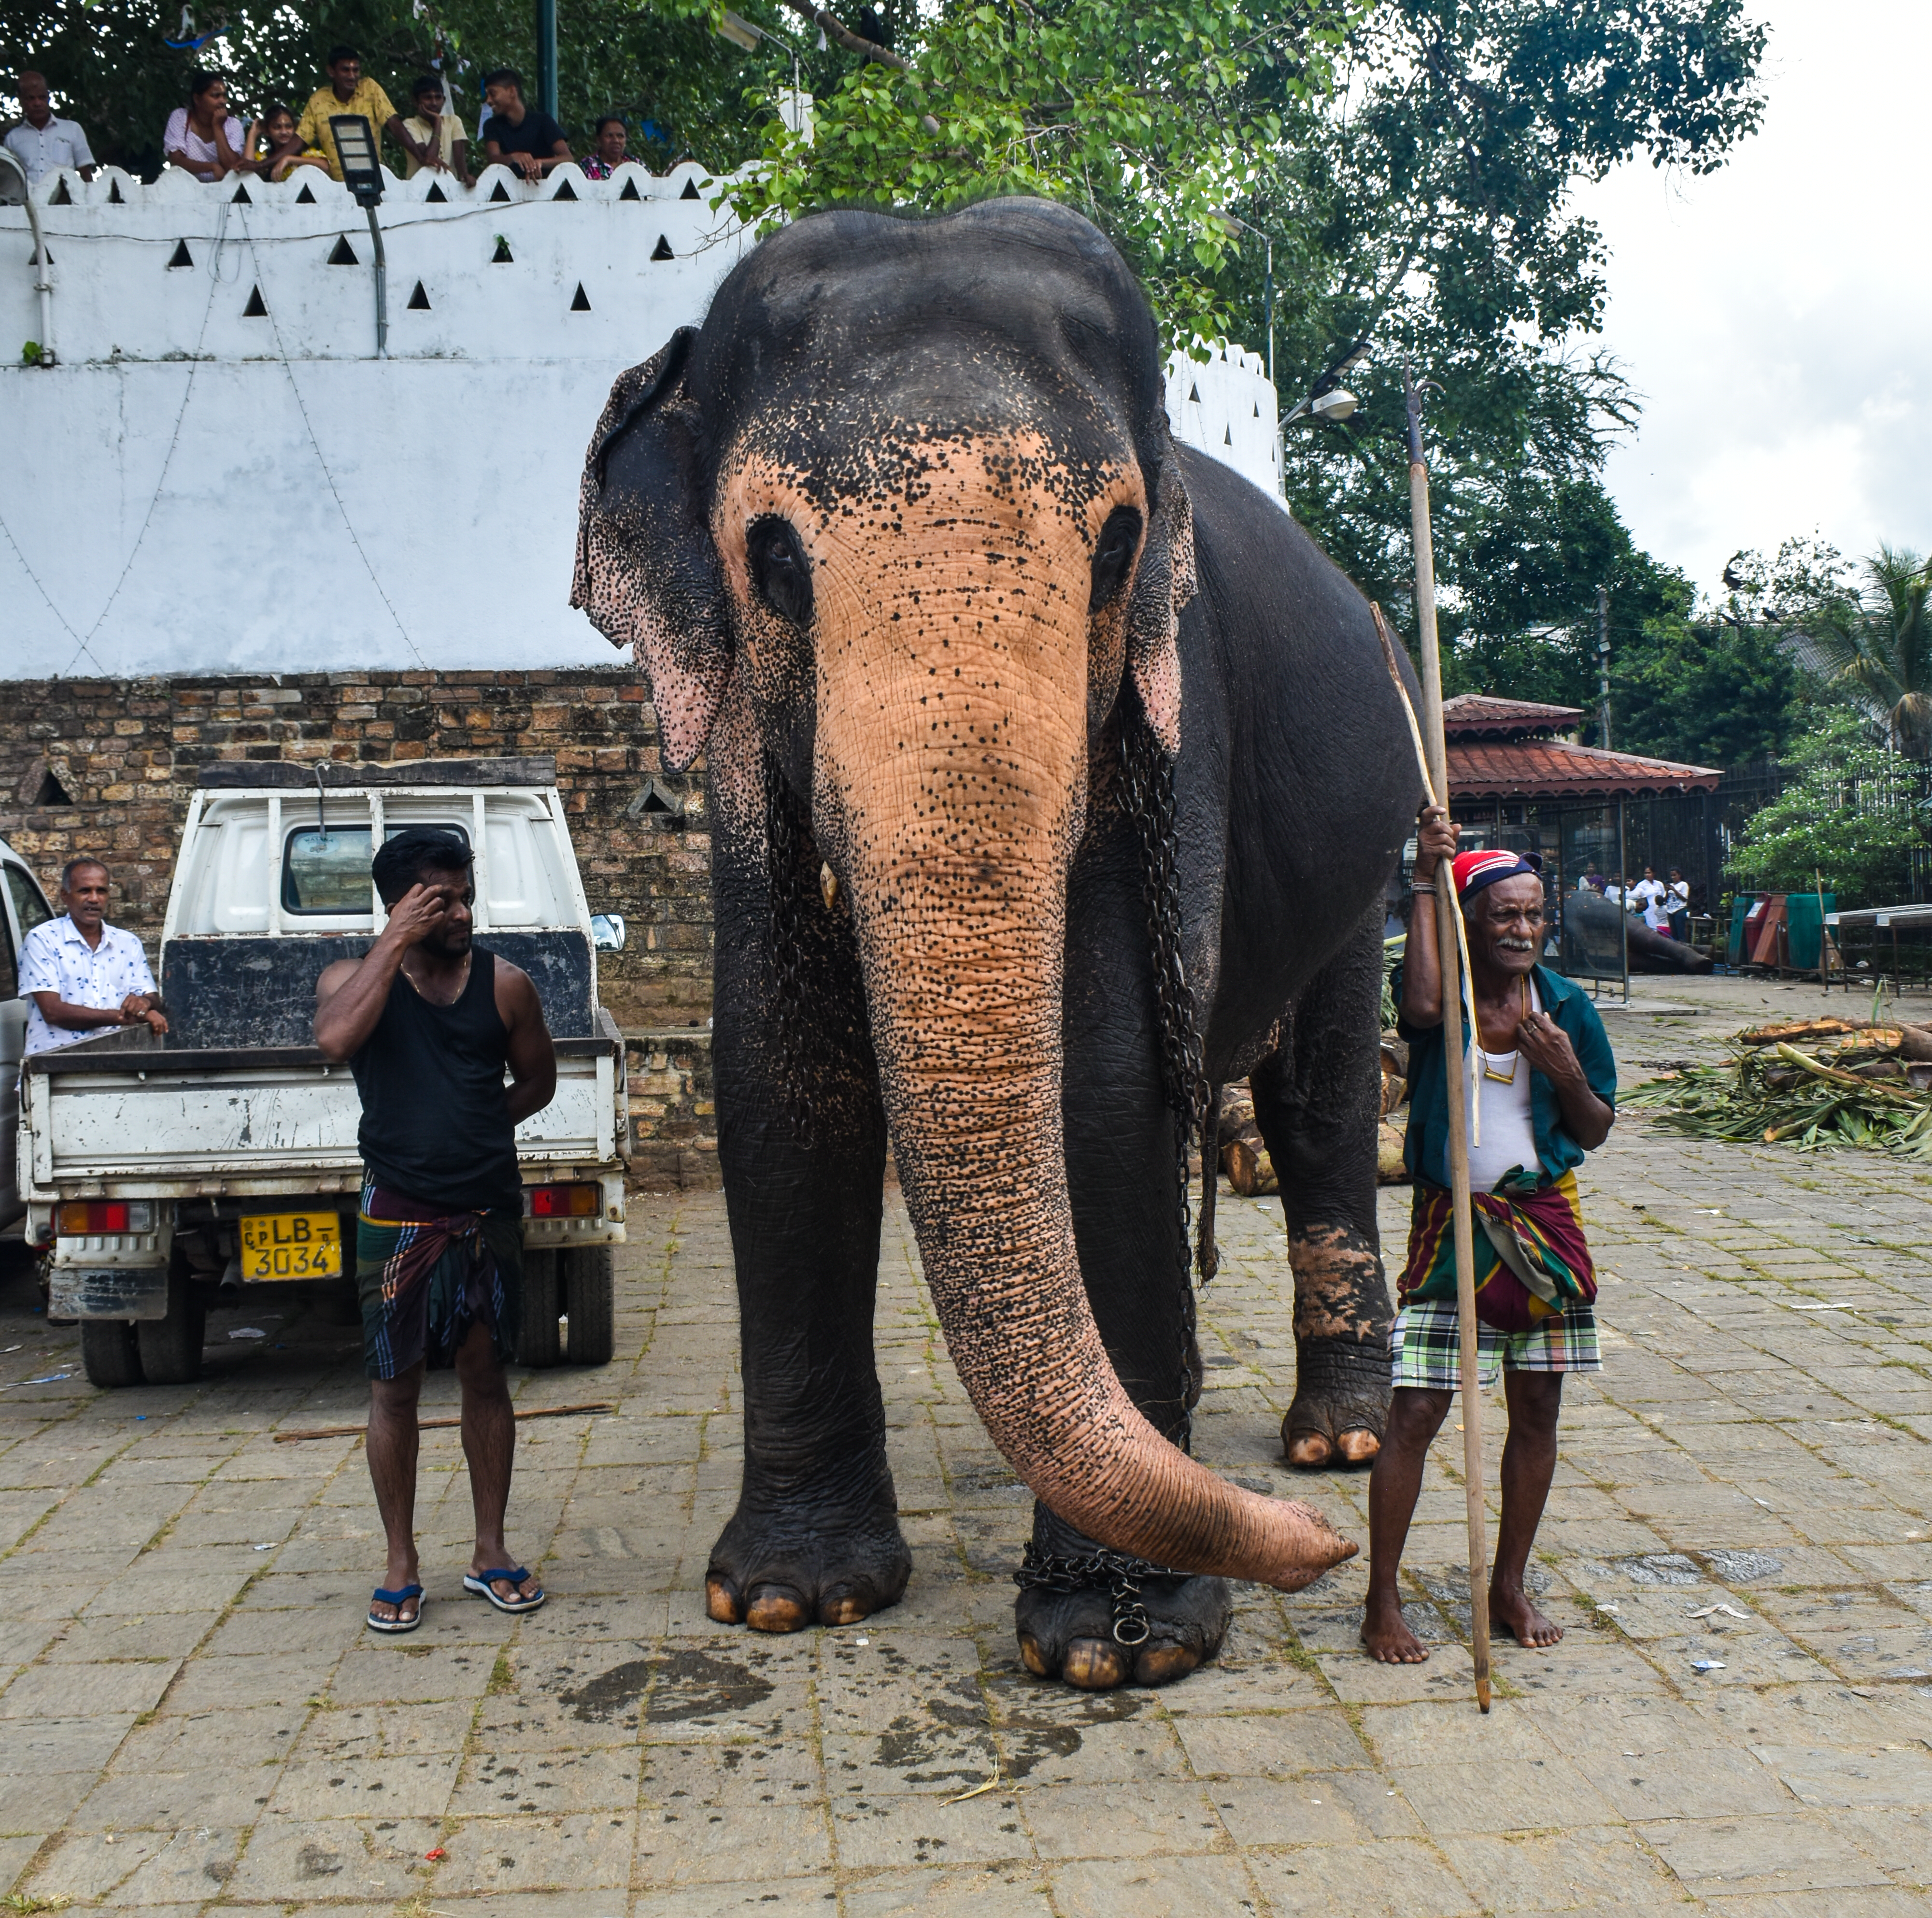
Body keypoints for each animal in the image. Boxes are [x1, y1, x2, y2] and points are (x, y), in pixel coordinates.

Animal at [572, 197, 1423, 1691]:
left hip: (1363, 860)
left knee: (1320, 1105)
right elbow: (777, 1075)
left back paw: (1337, 1441)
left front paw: (1121, 1644)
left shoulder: (1171, 724)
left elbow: (1104, 1081)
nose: (1322, 1552)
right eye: (773, 560)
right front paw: (789, 1596)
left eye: (1117, 545)